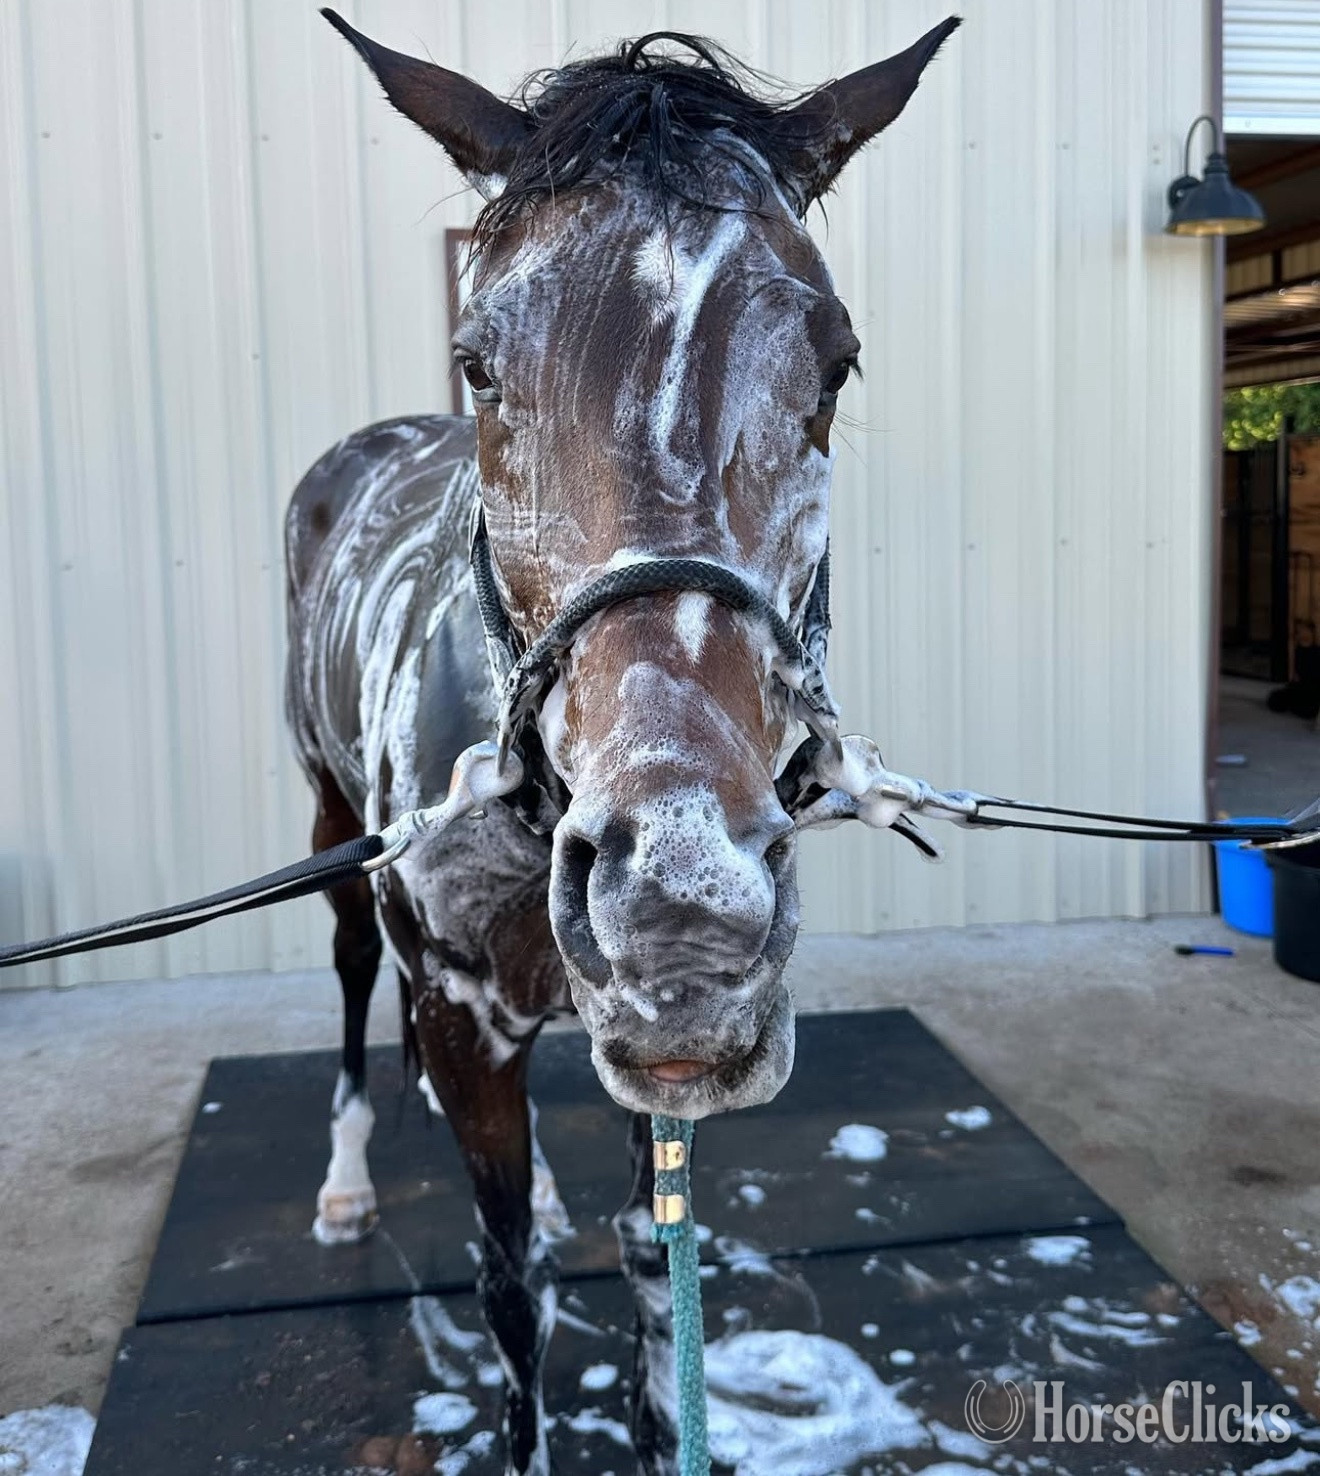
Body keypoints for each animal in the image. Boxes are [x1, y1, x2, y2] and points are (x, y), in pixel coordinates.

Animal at [284, 14, 956, 1473]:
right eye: (481, 363)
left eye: (835, 363)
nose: (679, 904)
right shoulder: (460, 1014)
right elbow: (509, 1292)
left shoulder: (651, 1055)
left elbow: (655, 1278)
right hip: (329, 827)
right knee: (354, 976)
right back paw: (345, 1182)